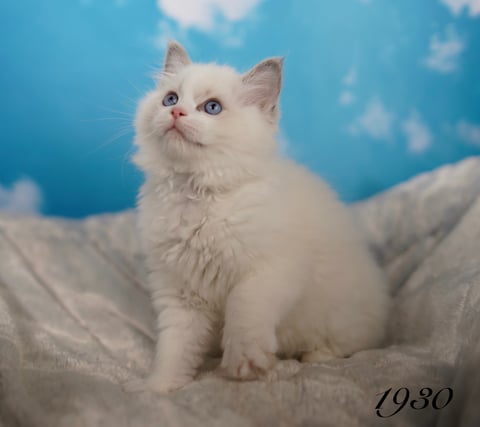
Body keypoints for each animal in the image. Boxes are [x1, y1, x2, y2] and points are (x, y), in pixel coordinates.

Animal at [131, 41, 390, 394]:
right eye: (170, 99)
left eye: (212, 108)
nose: (175, 113)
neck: (197, 195)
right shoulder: (180, 293)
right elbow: (175, 346)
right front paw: (160, 387)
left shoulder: (271, 271)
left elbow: (244, 310)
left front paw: (244, 362)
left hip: (342, 316)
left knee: (346, 346)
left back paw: (306, 358)